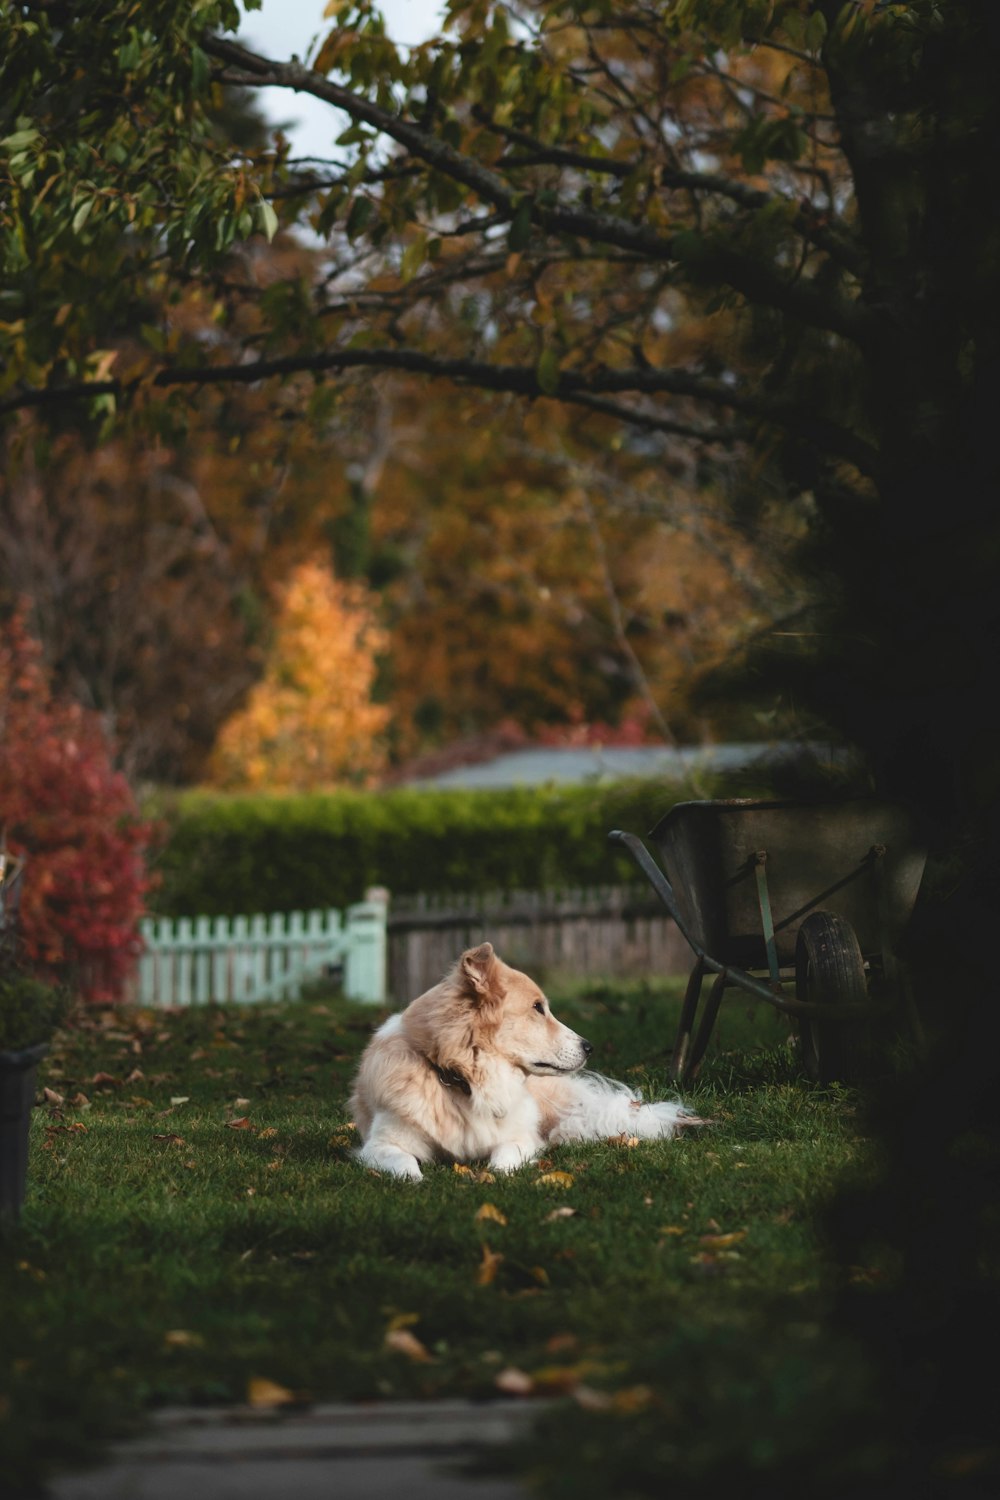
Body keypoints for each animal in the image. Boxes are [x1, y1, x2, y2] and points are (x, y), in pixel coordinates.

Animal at [352, 942, 704, 1176]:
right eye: (537, 1008)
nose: (589, 1047)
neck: (463, 1080)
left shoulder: (518, 1136)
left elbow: (502, 1162)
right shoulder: (380, 1144)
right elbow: (406, 1166)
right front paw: (415, 1177)